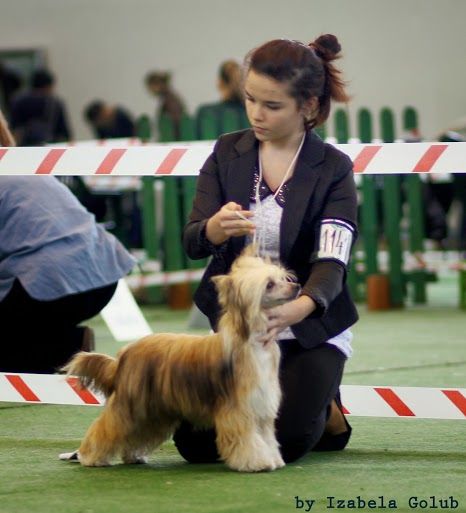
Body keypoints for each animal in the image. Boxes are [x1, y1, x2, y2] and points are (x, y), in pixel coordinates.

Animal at [62, 247, 299, 472]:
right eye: (269, 284)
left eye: (282, 278)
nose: (296, 286)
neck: (253, 341)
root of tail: (124, 355)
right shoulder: (239, 410)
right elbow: (247, 439)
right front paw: (255, 462)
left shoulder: (261, 408)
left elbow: (266, 439)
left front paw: (272, 458)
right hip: (131, 405)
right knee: (106, 428)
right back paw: (90, 457)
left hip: (154, 411)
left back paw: (132, 456)